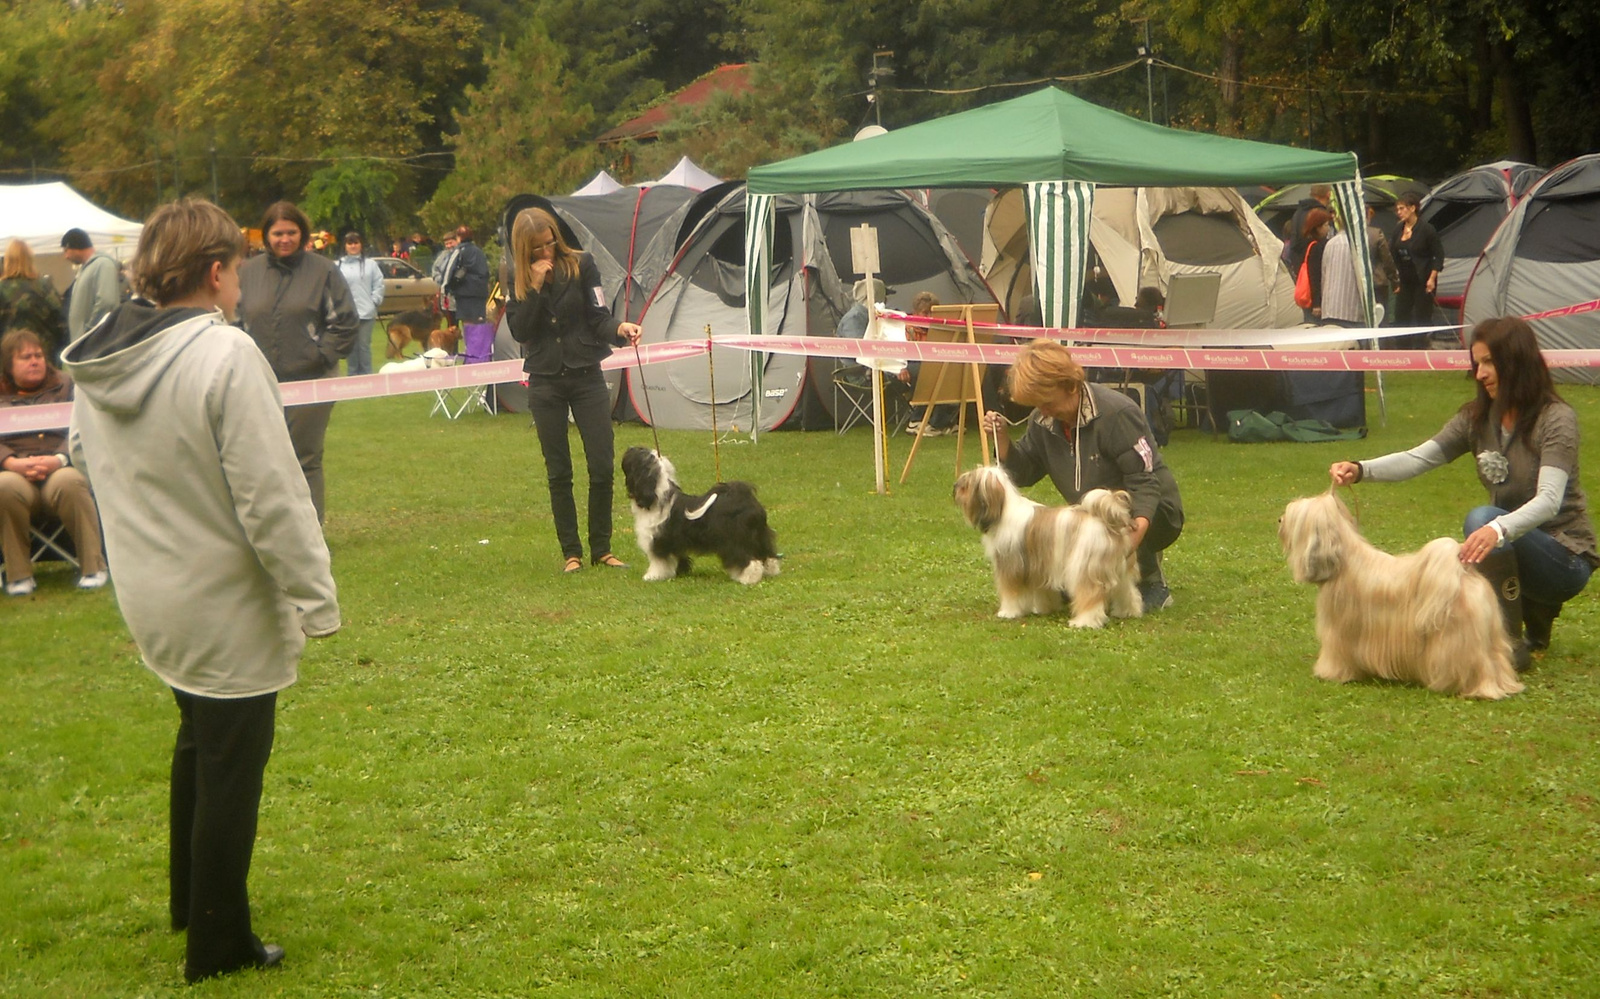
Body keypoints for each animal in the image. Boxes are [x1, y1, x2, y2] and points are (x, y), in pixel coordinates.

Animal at [617, 448, 780, 585]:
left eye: (634, 455)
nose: (628, 449)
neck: (656, 496)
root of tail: (745, 499)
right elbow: (678, 558)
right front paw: (680, 571)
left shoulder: (657, 540)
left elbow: (659, 562)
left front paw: (653, 576)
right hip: (759, 535)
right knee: (768, 555)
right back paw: (771, 572)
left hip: (734, 540)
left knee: (748, 560)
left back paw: (747, 578)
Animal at [953, 467, 1145, 624]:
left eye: (966, 485)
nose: (955, 487)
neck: (1002, 510)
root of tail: (1107, 523)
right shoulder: (1041, 567)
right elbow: (1043, 592)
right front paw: (1044, 608)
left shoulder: (1011, 566)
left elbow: (1011, 593)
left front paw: (1008, 612)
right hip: (1120, 569)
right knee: (1128, 591)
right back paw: (1128, 612)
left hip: (1085, 568)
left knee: (1090, 596)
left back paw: (1083, 622)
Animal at [1273, 493, 1523, 698]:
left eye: (1293, 516)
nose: (1279, 520)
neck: (1343, 561)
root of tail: (1462, 573)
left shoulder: (1339, 632)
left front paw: (1332, 673)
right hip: (1491, 636)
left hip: (1458, 640)